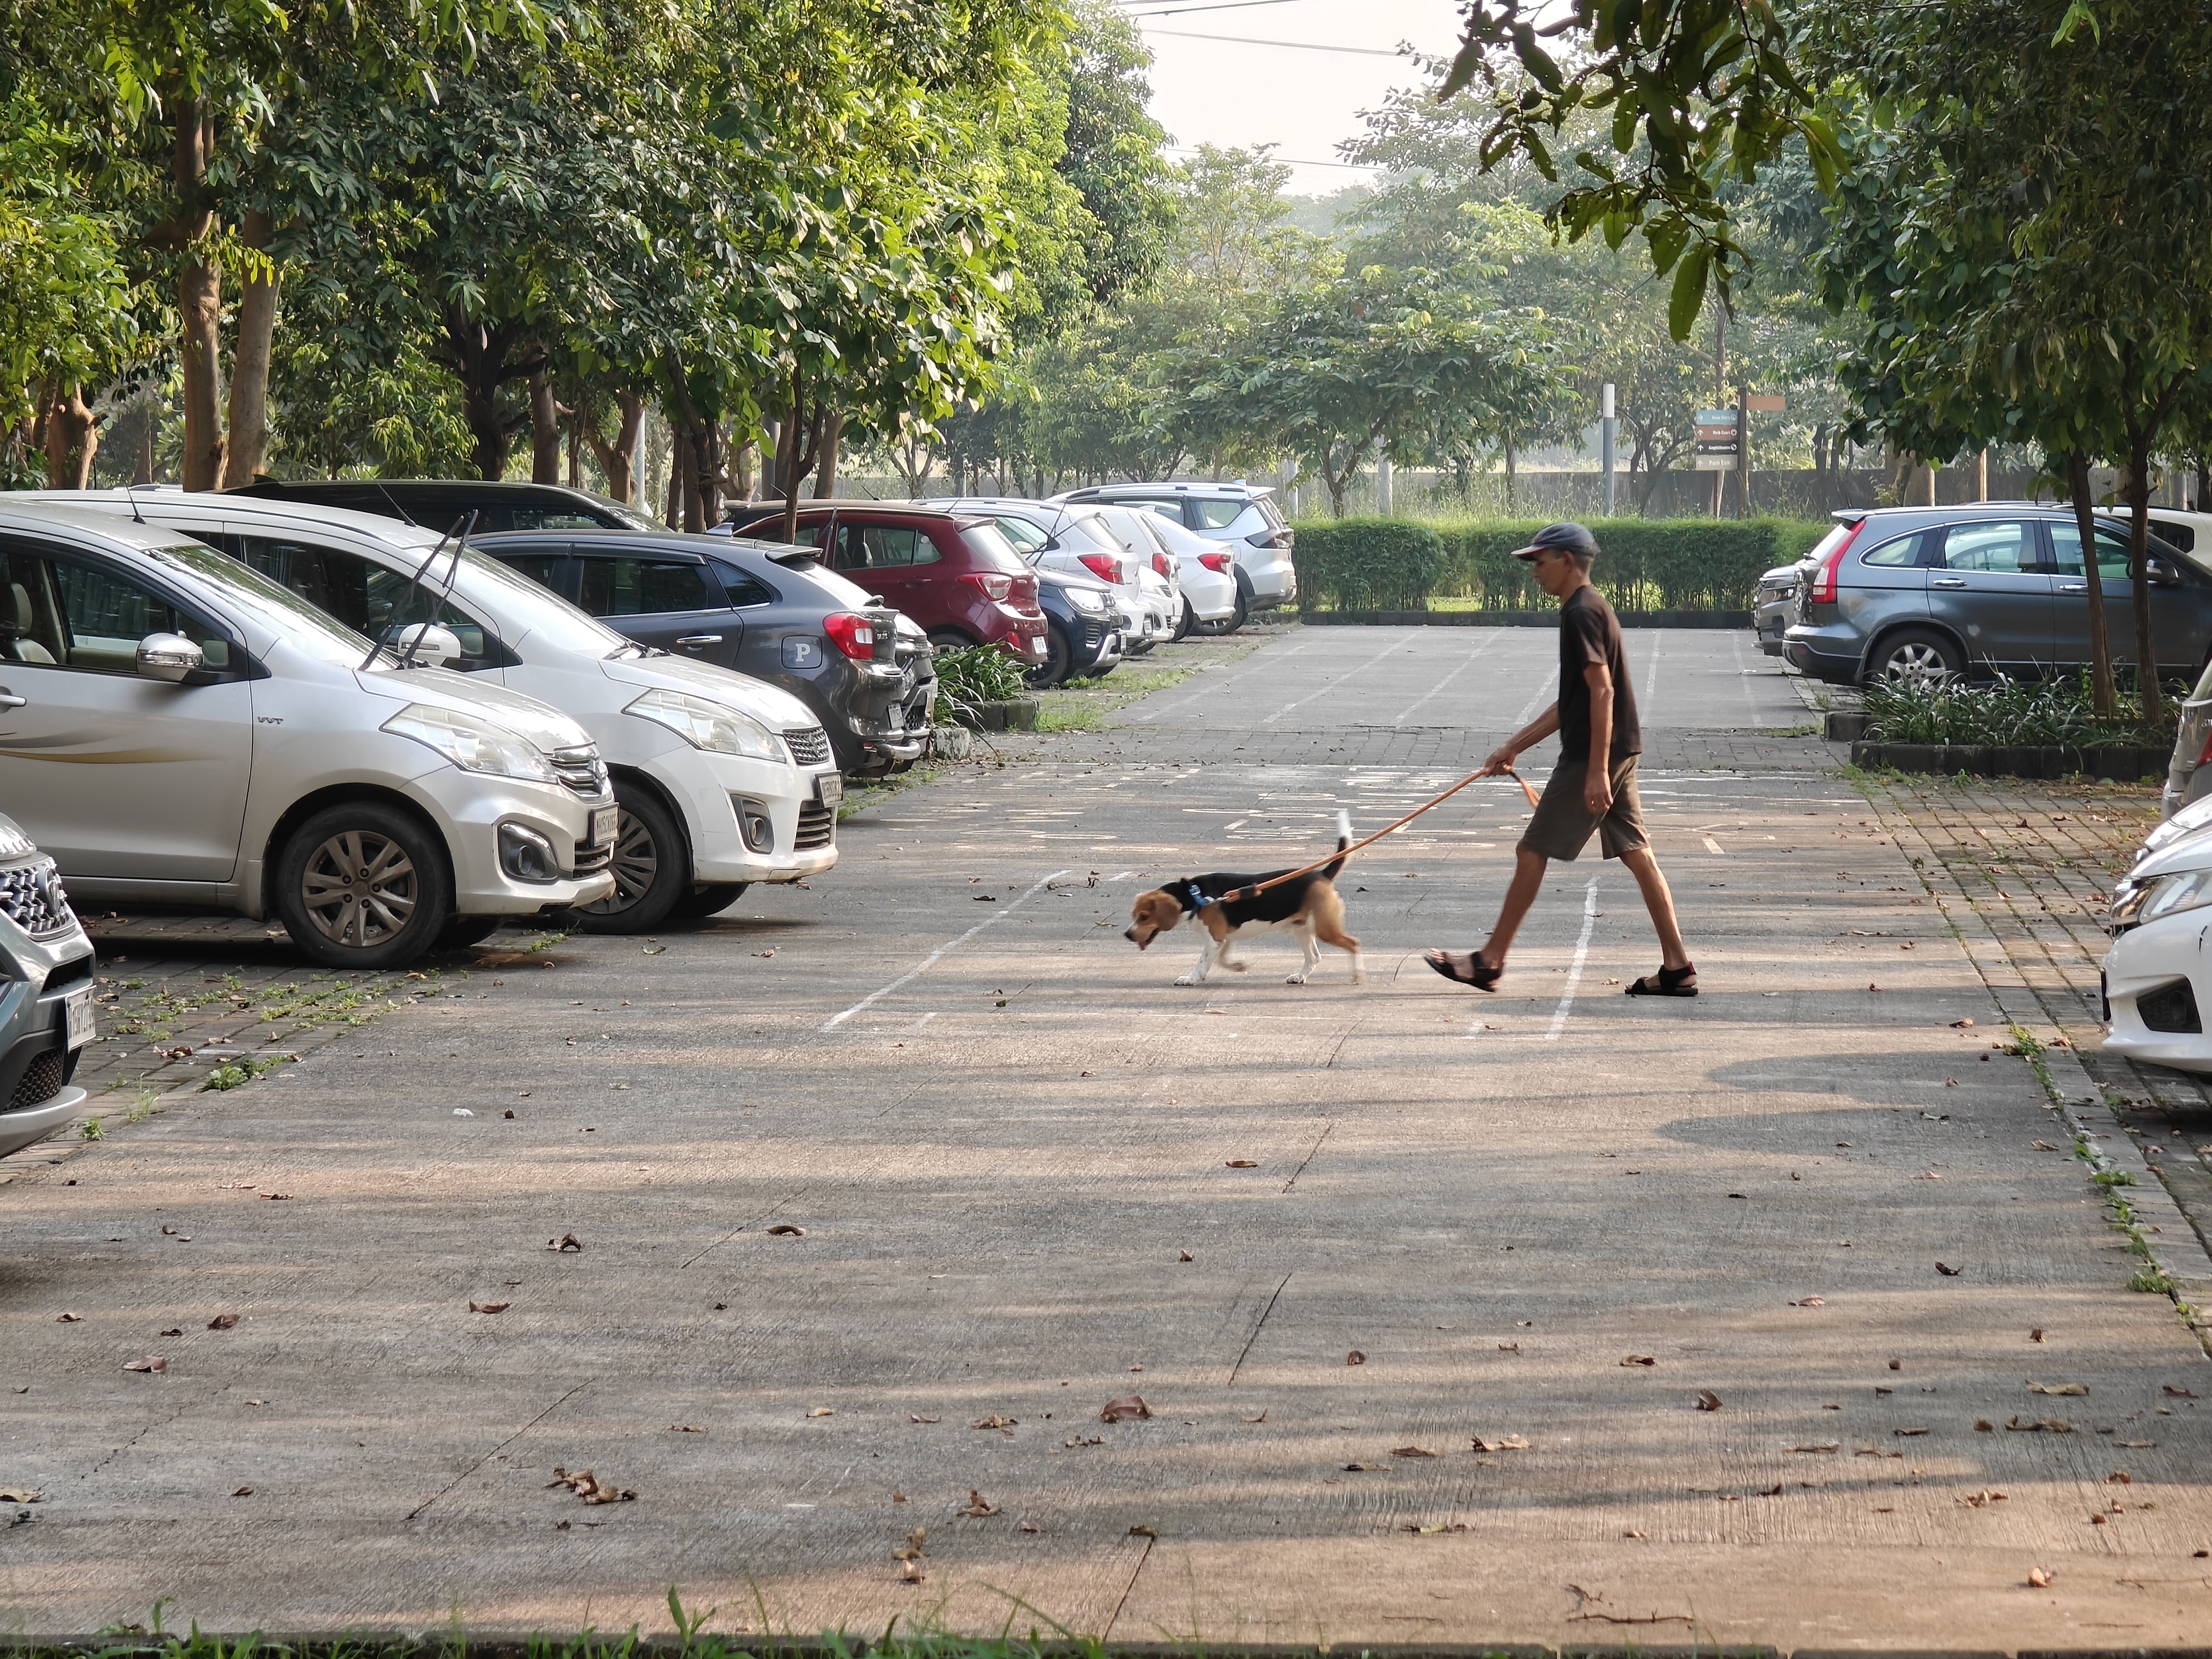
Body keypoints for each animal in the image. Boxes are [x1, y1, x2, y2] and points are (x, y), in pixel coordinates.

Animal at [1123, 809, 1362, 982]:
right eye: (1133, 916)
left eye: (1144, 917)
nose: (1127, 935)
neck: (1193, 895)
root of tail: (1321, 875)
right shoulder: (1224, 938)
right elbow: (1222, 960)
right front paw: (1238, 966)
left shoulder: (1215, 939)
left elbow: (1202, 961)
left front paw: (1191, 978)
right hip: (1302, 929)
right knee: (1314, 957)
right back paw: (1300, 977)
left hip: (1325, 929)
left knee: (1354, 944)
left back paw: (1357, 975)